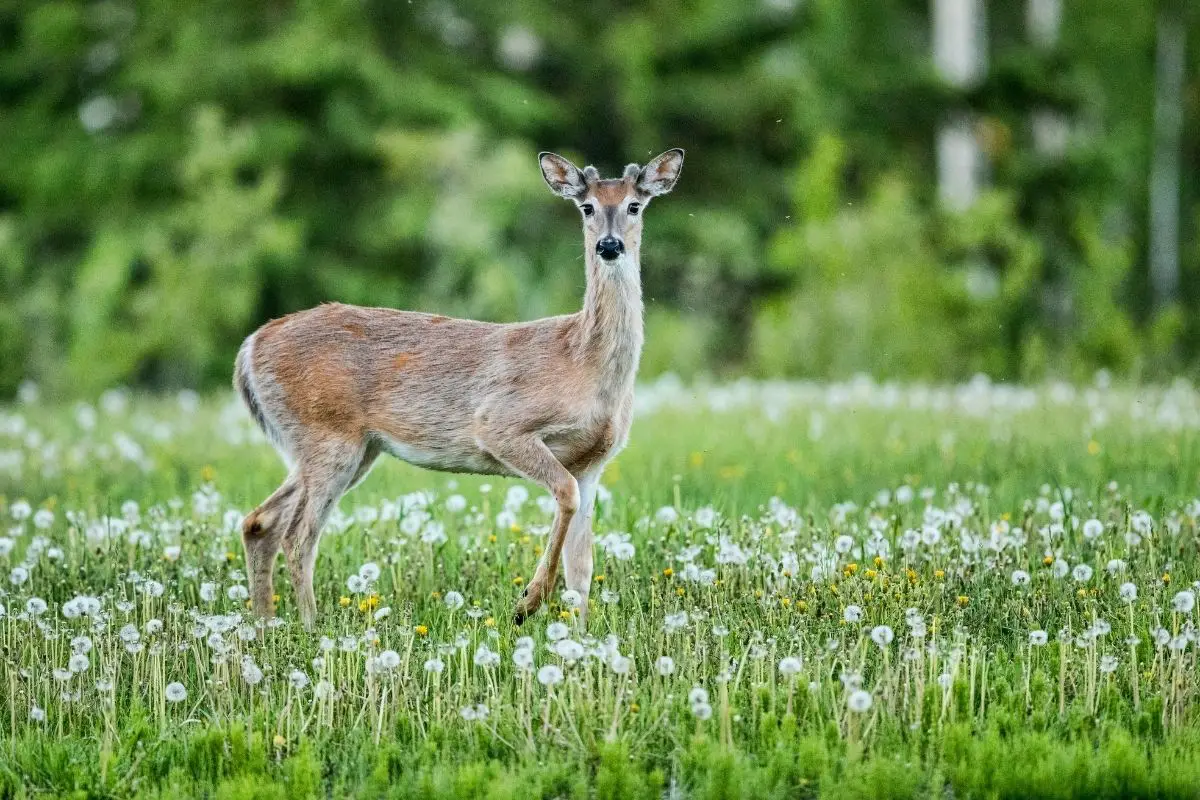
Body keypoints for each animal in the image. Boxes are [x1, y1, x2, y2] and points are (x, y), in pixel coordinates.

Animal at [234, 146, 686, 628]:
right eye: (587, 207)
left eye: (634, 205)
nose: (609, 245)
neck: (584, 363)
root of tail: (250, 346)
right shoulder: (499, 424)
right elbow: (562, 495)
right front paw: (528, 601)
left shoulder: (593, 462)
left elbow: (581, 565)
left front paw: (579, 637)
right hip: (327, 434)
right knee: (298, 535)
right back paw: (311, 627)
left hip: (347, 448)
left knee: (260, 522)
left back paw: (265, 626)